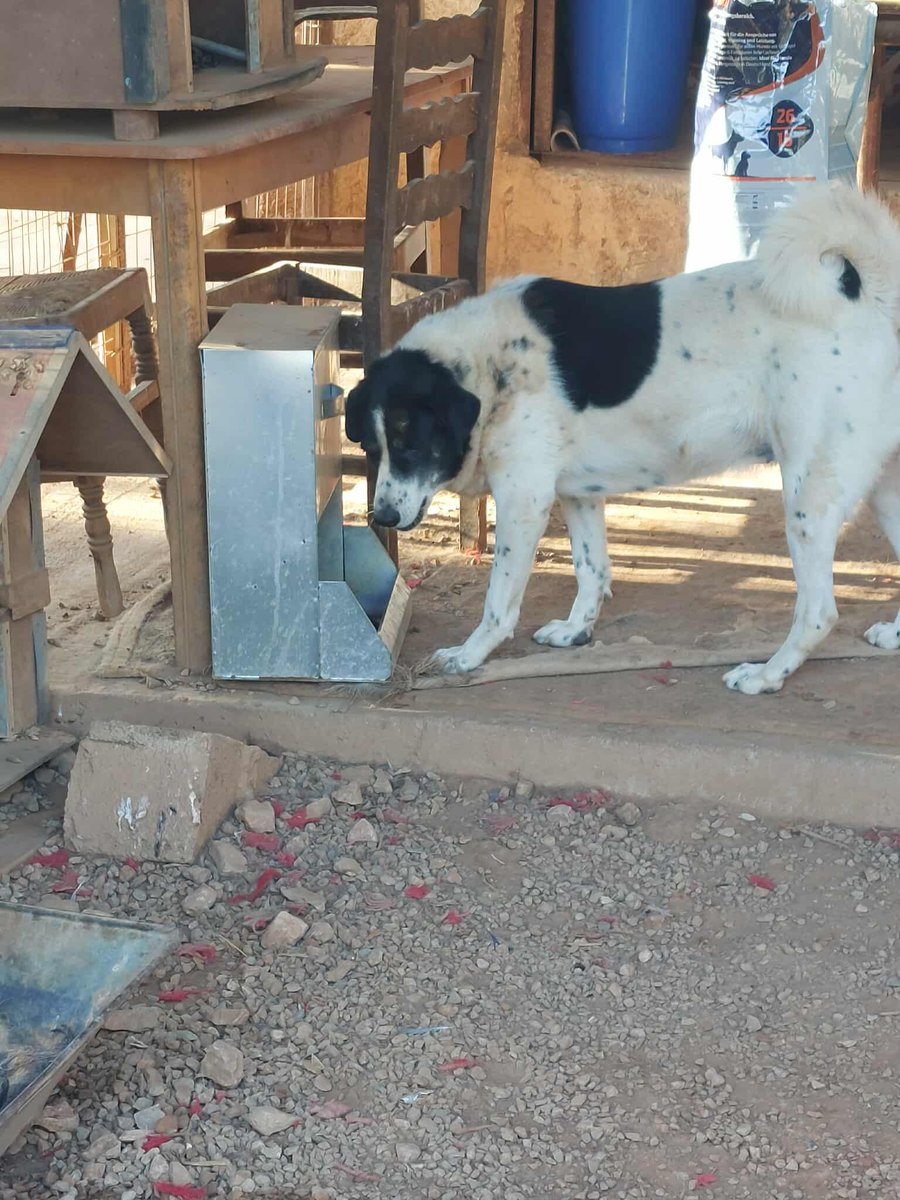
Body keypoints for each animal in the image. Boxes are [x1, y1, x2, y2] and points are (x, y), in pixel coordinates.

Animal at [345, 184, 900, 694]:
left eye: (411, 443)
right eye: (371, 448)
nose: (383, 518)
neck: (485, 366)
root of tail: (870, 295)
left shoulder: (524, 501)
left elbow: (499, 601)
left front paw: (469, 654)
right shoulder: (577, 494)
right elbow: (592, 570)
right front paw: (576, 631)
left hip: (810, 498)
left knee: (819, 613)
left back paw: (766, 675)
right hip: (883, 492)